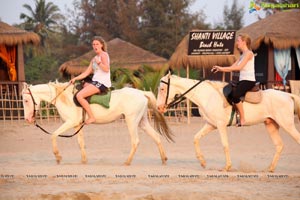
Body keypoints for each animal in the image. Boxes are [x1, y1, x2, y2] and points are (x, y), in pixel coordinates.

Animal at [21, 81, 173, 164]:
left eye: (26, 100)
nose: (28, 119)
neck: (65, 98)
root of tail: (142, 93)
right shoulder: (77, 125)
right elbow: (80, 143)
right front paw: (83, 161)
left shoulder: (70, 123)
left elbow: (53, 135)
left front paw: (58, 157)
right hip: (142, 122)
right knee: (156, 137)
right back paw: (164, 159)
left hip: (131, 121)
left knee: (135, 141)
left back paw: (127, 162)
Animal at [156, 72, 300, 172]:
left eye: (162, 89)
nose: (159, 108)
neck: (207, 96)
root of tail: (288, 95)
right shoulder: (211, 125)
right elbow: (196, 138)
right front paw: (202, 162)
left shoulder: (220, 126)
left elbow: (225, 145)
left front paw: (227, 167)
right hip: (271, 125)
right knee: (279, 145)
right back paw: (269, 169)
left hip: (287, 125)